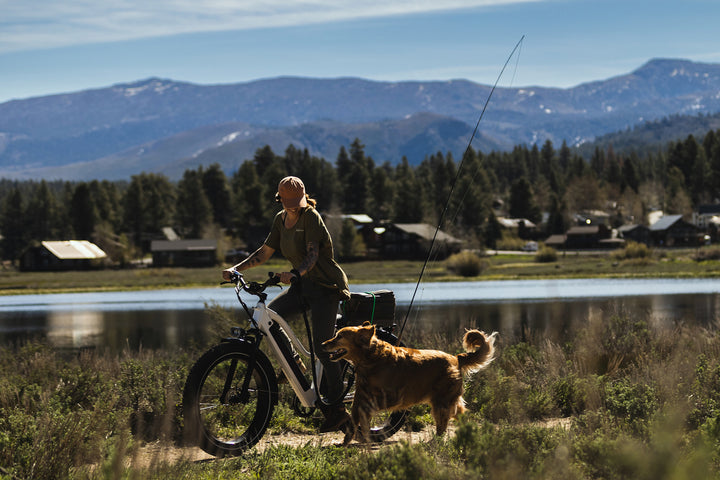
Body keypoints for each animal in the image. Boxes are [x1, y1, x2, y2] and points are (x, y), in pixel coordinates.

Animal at [320, 322, 496, 446]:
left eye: (339, 336)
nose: (322, 345)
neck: (370, 357)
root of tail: (456, 358)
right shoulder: (359, 398)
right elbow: (353, 422)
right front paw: (345, 442)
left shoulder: (392, 397)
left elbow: (365, 411)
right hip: (446, 401)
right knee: (460, 413)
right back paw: (467, 431)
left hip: (441, 403)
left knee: (442, 425)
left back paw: (435, 442)